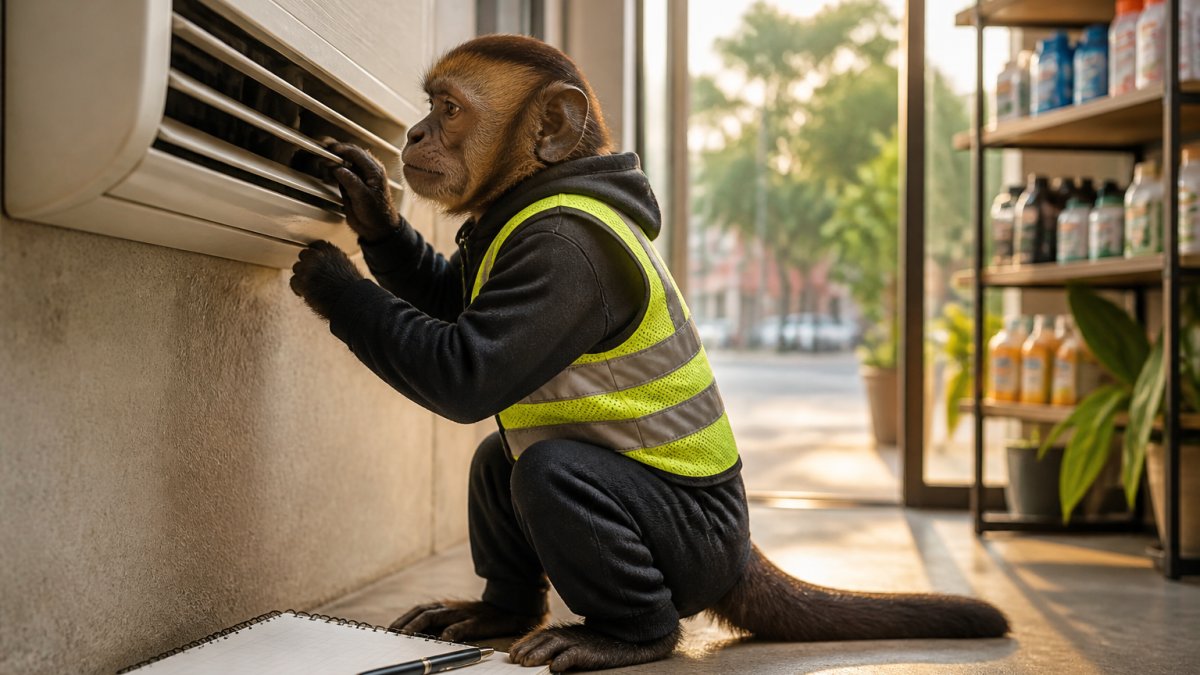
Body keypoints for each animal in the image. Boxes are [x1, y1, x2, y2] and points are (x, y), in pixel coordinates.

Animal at [289, 34, 1009, 672]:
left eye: (448, 109)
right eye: (427, 108)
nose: (413, 135)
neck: (543, 182)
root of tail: (742, 550)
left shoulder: (565, 263)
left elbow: (469, 373)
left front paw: (336, 283)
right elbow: (445, 297)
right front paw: (372, 208)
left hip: (696, 551)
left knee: (546, 467)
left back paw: (630, 637)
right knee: (500, 456)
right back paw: (502, 610)